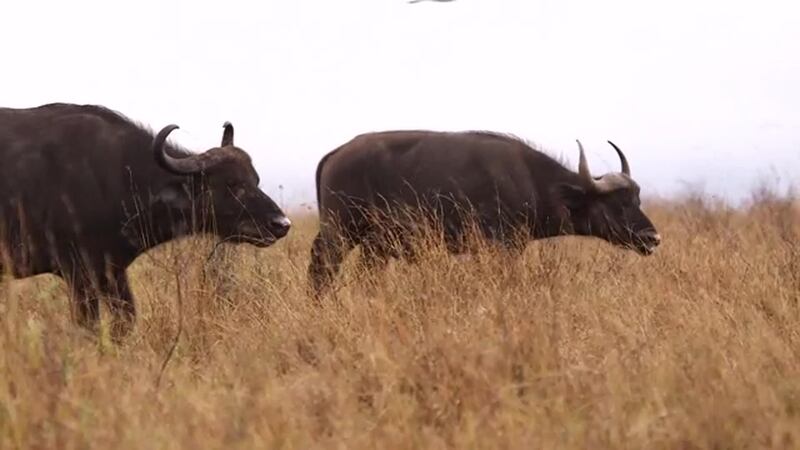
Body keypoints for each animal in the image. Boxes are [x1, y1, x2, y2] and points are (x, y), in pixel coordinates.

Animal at [0, 103, 291, 339]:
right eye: (231, 184)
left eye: (255, 179)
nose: (281, 224)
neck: (117, 176)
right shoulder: (80, 273)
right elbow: (89, 326)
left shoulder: (113, 272)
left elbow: (126, 320)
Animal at [308, 130, 661, 296]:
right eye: (617, 204)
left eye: (638, 200)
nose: (653, 238)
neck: (530, 179)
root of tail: (336, 154)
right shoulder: (501, 247)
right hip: (340, 232)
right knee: (323, 267)